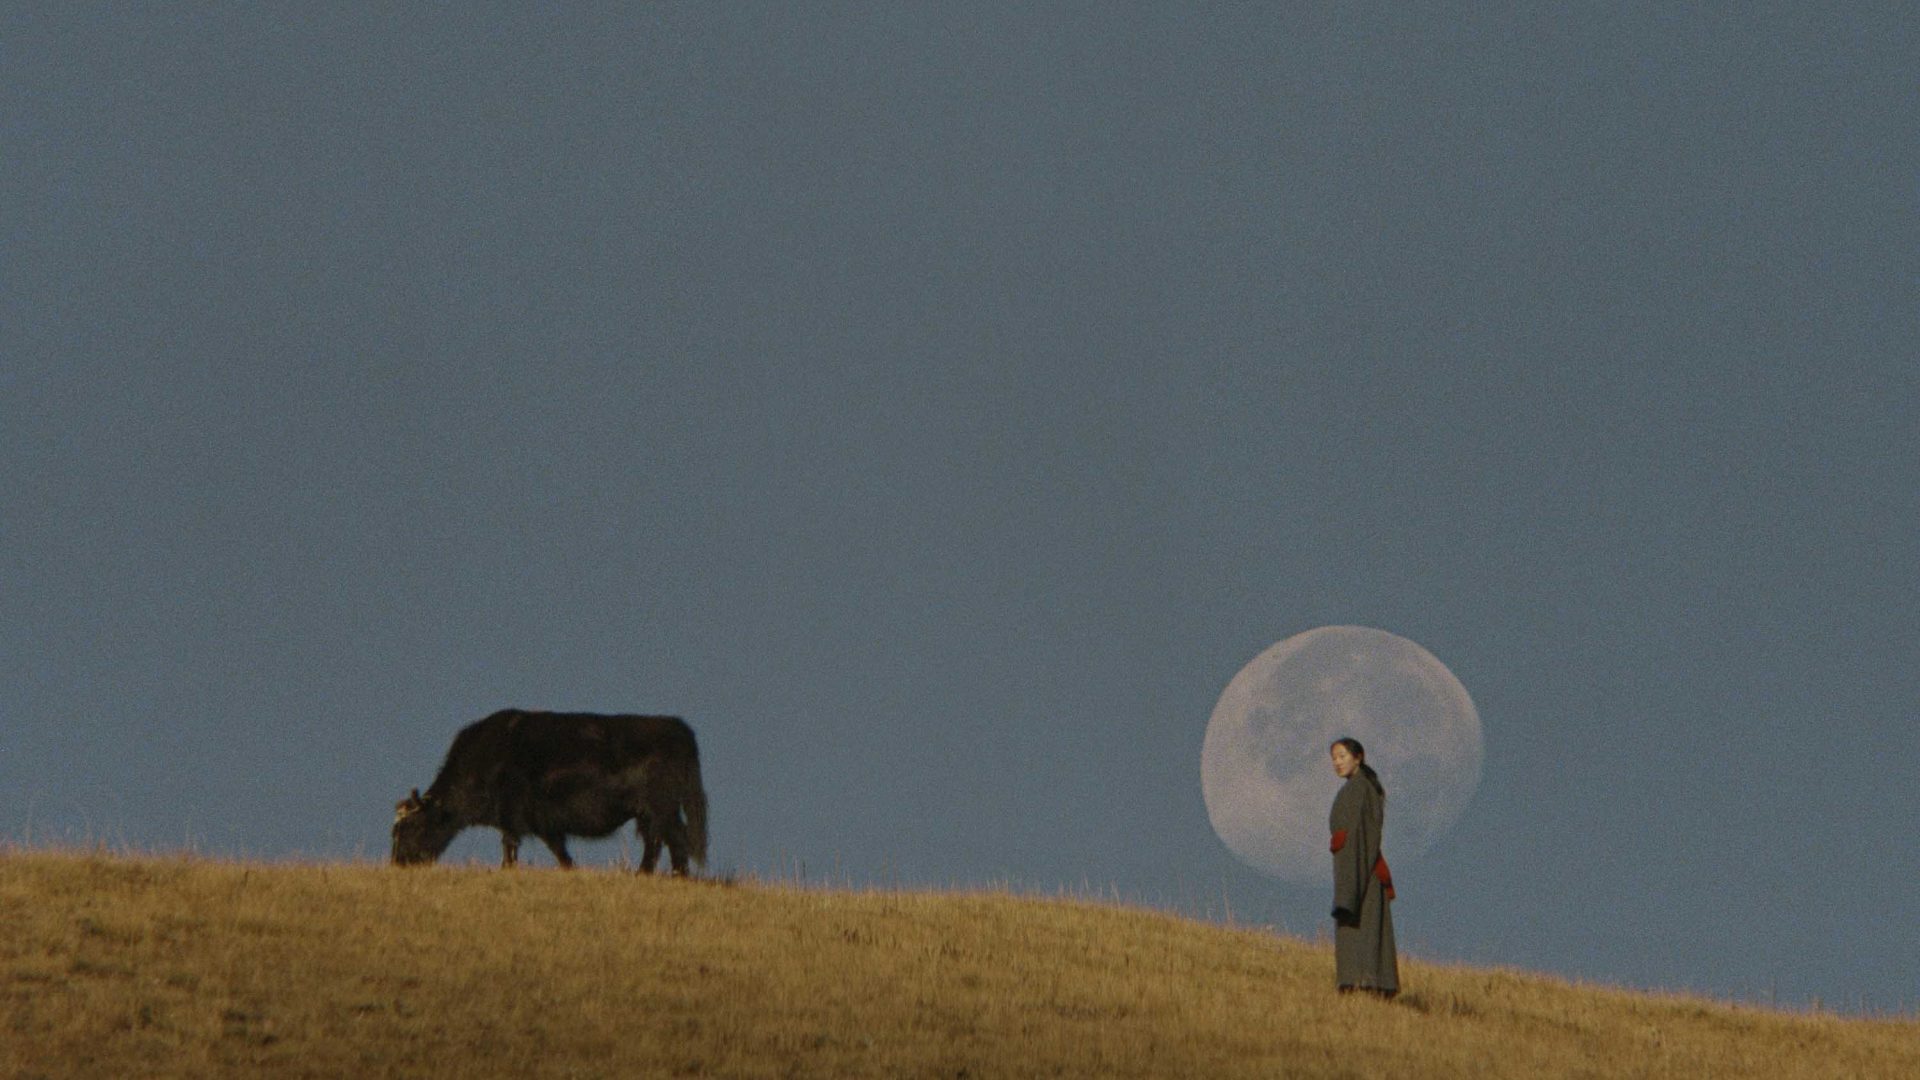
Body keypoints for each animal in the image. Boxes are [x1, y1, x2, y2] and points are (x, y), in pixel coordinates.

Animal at [393, 707, 710, 876]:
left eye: (411, 827)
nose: (398, 862)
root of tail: (676, 726)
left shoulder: (513, 817)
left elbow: (510, 845)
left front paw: (507, 870)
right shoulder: (545, 823)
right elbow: (560, 851)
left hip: (660, 809)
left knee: (669, 840)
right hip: (650, 813)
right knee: (662, 841)